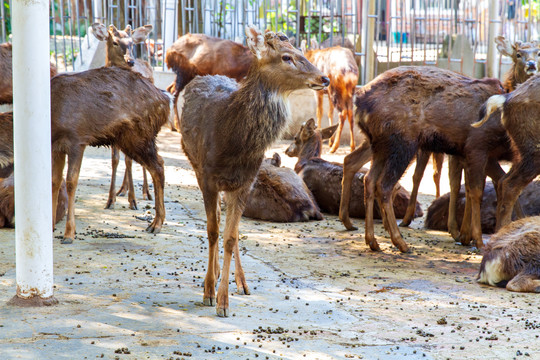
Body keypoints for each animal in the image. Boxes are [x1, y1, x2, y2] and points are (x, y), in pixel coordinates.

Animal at [51, 65, 169, 245]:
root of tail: (165, 100)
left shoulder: (77, 140)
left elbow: (71, 182)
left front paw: (69, 234)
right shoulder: (56, 147)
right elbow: (55, 181)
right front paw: (50, 226)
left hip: (140, 135)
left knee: (159, 165)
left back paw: (156, 224)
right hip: (128, 139)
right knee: (157, 165)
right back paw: (154, 222)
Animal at [91, 23, 156, 211]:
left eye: (132, 43)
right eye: (114, 41)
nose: (130, 61)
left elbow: (128, 160)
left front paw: (133, 201)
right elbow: (115, 160)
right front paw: (110, 199)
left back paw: (145, 193)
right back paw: (123, 189)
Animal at [179, 26, 326, 316]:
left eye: (300, 51)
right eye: (286, 57)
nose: (324, 78)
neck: (232, 143)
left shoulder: (245, 182)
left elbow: (230, 237)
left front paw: (224, 300)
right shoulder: (207, 177)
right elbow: (212, 232)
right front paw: (209, 292)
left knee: (231, 231)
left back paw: (242, 283)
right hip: (195, 164)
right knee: (214, 221)